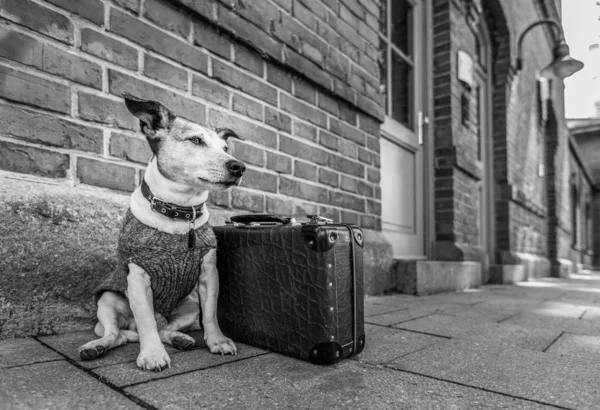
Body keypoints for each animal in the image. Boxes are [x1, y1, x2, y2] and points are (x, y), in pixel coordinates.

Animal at [78, 95, 245, 372]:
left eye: (225, 148)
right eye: (195, 140)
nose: (239, 166)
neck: (180, 211)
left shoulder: (209, 275)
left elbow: (211, 314)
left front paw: (218, 342)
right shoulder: (137, 278)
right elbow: (146, 321)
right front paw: (153, 355)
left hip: (189, 306)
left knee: (164, 329)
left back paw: (180, 339)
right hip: (108, 301)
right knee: (117, 334)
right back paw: (96, 347)